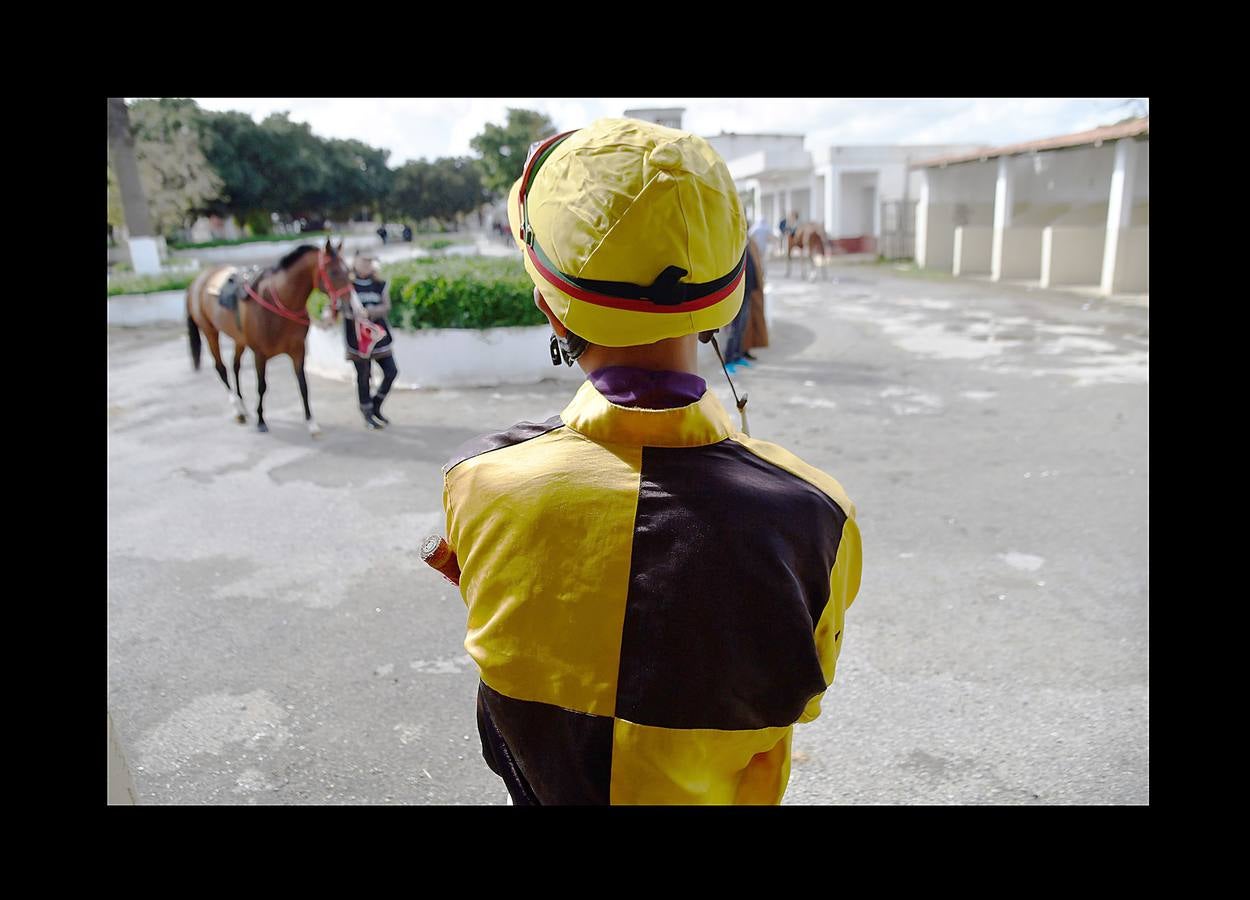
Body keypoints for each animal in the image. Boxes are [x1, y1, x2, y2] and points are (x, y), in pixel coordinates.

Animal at [185, 235, 362, 435]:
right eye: (333, 272)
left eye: (348, 271)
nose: (352, 307)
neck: (279, 302)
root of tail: (197, 282)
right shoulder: (260, 354)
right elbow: (262, 386)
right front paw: (261, 420)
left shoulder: (298, 351)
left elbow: (303, 385)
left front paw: (311, 422)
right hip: (210, 332)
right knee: (221, 368)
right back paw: (237, 408)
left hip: (239, 340)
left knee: (235, 366)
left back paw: (242, 406)